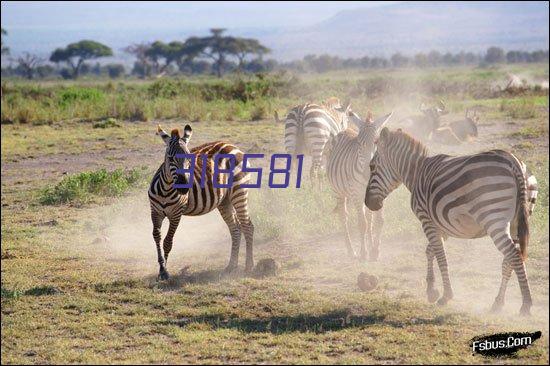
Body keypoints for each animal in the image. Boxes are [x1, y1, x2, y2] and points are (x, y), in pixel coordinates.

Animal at [150, 124, 256, 278]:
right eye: (170, 158)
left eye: (189, 158)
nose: (183, 187)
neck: (166, 189)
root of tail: (232, 145)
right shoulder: (155, 213)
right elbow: (156, 237)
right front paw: (161, 268)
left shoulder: (176, 214)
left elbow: (168, 241)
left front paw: (165, 272)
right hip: (225, 201)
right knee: (235, 229)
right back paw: (231, 266)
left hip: (239, 192)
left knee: (248, 226)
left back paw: (248, 266)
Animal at [326, 111, 394, 260]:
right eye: (359, 144)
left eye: (376, 143)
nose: (367, 174)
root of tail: (344, 130)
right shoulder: (356, 194)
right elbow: (362, 224)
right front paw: (364, 253)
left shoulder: (381, 194)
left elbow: (379, 221)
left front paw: (375, 251)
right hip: (338, 192)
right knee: (344, 217)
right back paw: (351, 251)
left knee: (369, 218)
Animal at [366, 128, 540, 314]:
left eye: (372, 166)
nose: (368, 203)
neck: (417, 172)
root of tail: (514, 161)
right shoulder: (441, 226)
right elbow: (430, 251)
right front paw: (431, 290)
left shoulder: (426, 220)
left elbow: (441, 256)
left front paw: (445, 295)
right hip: (517, 222)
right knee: (510, 260)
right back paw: (498, 303)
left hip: (494, 219)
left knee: (513, 256)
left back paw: (526, 305)